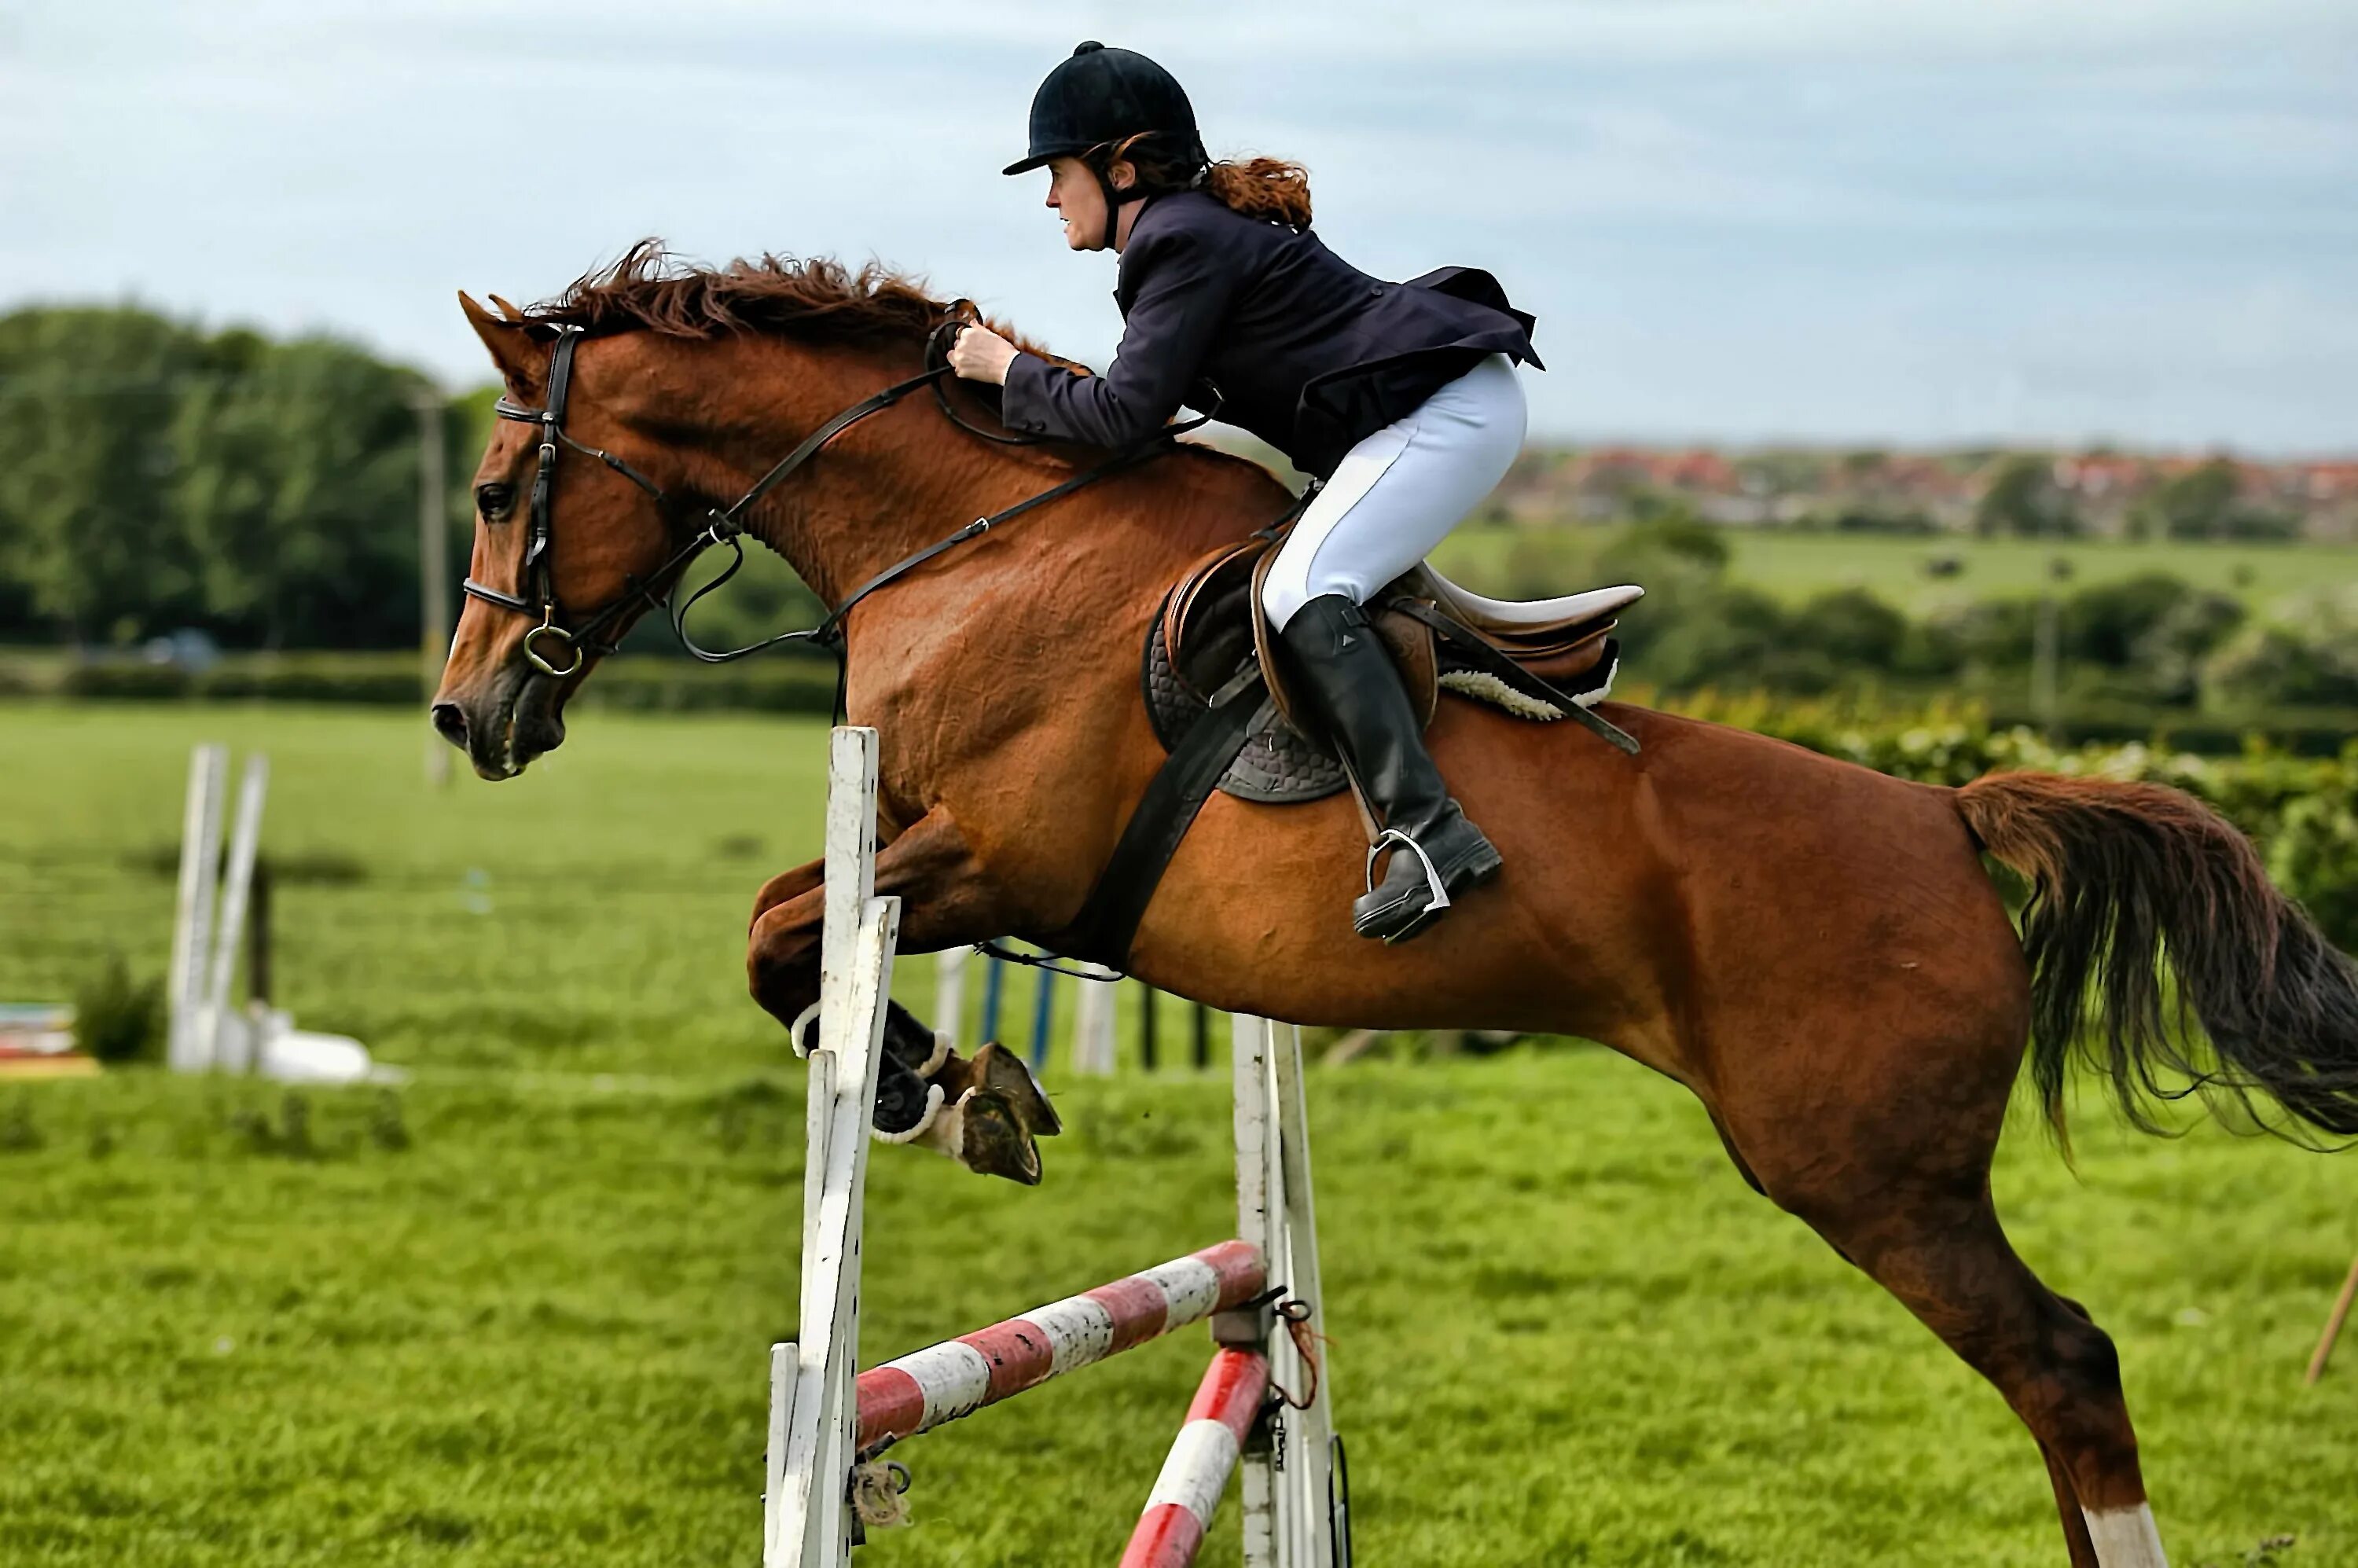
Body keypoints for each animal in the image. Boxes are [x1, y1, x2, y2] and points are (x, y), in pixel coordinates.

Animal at [429, 248, 2358, 1566]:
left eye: (498, 489)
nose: (468, 716)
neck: (982, 537)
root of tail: (1952, 816)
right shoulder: (924, 842)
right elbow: (787, 928)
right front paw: (958, 1083)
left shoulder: (987, 854)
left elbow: (779, 934)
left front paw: (932, 1087)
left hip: (1869, 1172)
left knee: (2067, 1365)